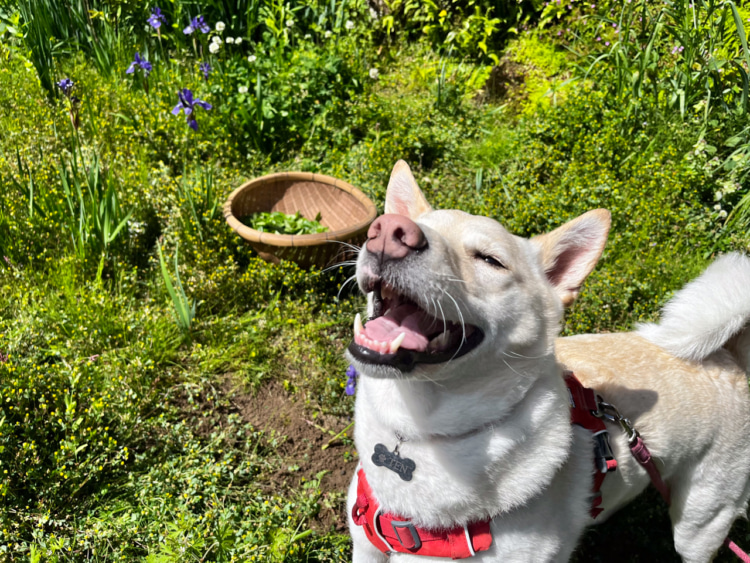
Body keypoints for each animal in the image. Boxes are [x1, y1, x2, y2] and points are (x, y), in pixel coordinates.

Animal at [346, 161, 750, 560]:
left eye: (490, 260)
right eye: (395, 224)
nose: (388, 231)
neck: (419, 429)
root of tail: (727, 358)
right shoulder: (366, 548)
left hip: (700, 524)